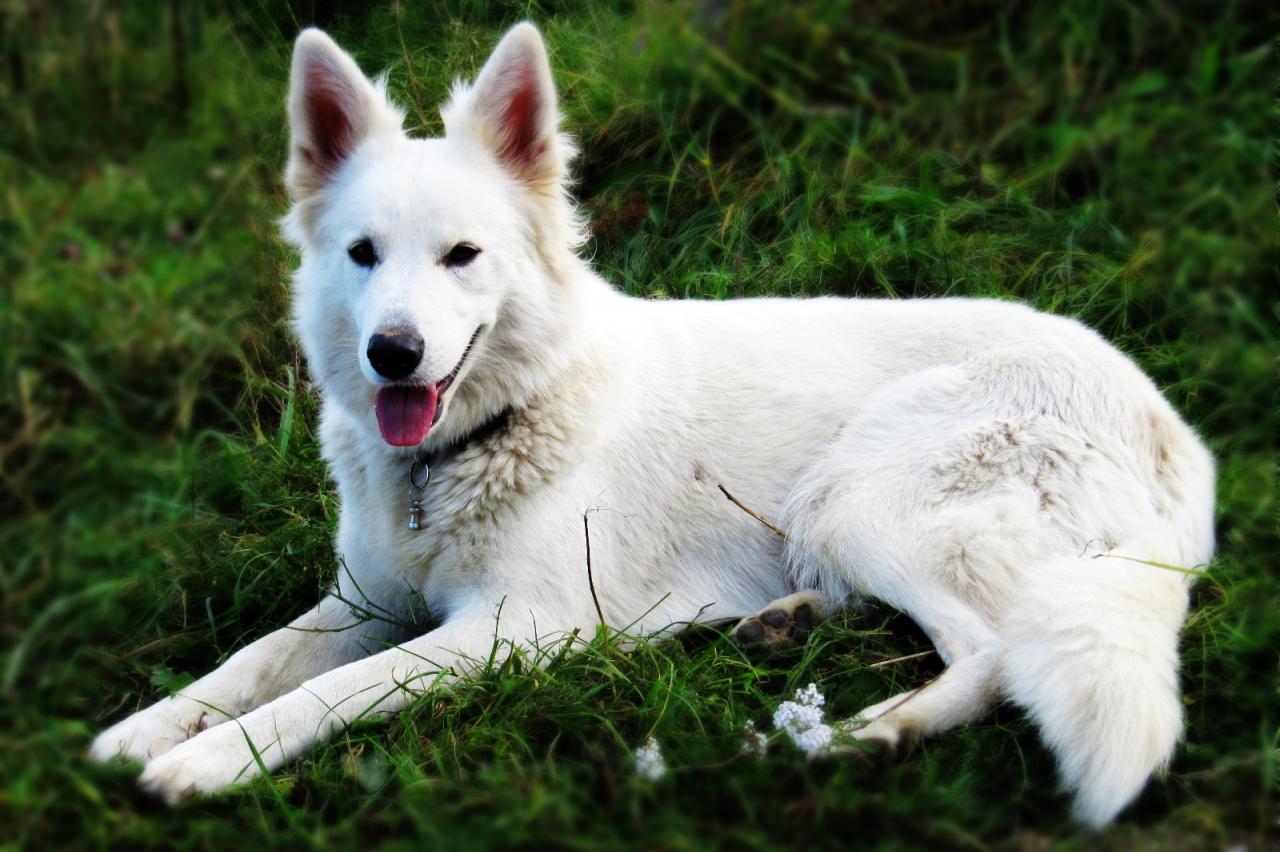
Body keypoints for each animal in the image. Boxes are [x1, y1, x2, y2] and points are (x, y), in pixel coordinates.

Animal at [87, 23, 1208, 823]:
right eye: (363, 255)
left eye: (461, 256)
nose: (392, 354)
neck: (482, 438)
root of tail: (1171, 432)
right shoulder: (363, 602)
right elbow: (247, 664)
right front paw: (138, 734)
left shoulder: (512, 627)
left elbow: (330, 693)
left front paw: (205, 763)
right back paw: (787, 623)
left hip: (856, 492)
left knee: (991, 656)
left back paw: (864, 735)